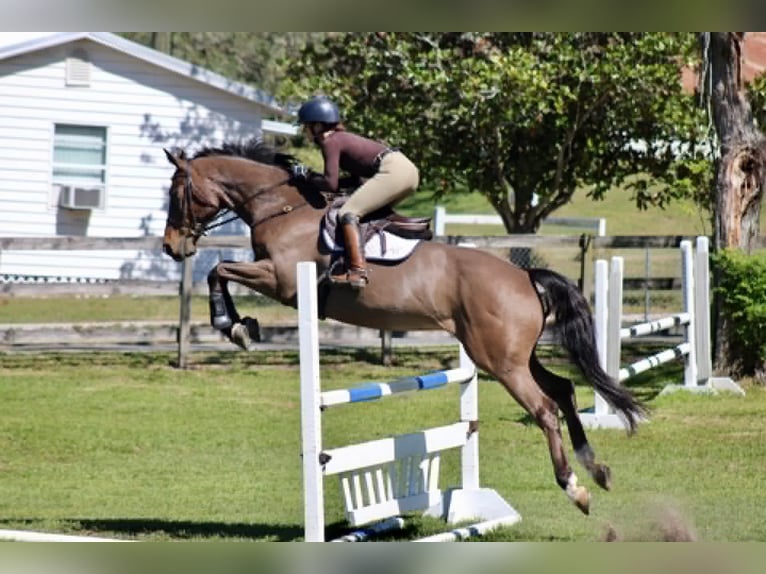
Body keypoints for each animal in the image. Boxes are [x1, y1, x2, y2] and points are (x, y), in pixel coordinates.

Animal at [160, 139, 645, 515]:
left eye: (176, 193)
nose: (170, 247)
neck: (281, 207)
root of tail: (525, 276)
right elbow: (220, 271)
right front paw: (238, 324)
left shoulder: (282, 281)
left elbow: (219, 270)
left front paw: (233, 325)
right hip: (512, 354)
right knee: (563, 390)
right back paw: (597, 469)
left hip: (501, 361)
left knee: (544, 409)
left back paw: (575, 488)